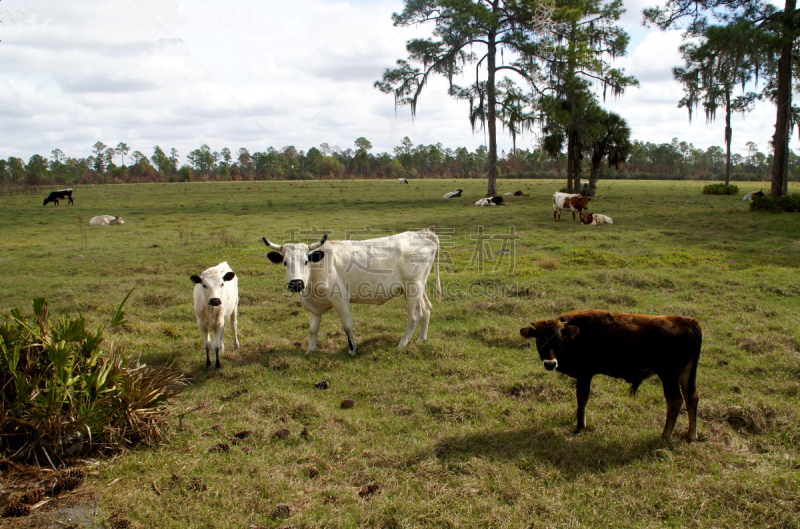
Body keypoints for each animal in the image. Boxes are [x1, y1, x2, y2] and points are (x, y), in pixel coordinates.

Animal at [262, 228, 440, 354]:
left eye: (306, 261)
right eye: (285, 262)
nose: (296, 283)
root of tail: (422, 233)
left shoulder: (340, 299)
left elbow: (347, 326)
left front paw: (352, 349)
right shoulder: (315, 306)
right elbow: (313, 329)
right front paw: (309, 351)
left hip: (413, 288)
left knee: (414, 316)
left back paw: (402, 344)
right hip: (417, 288)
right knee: (426, 309)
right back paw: (421, 339)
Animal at [520, 310, 700, 442]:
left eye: (559, 340)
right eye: (539, 339)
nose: (550, 363)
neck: (577, 335)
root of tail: (685, 321)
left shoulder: (584, 375)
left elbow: (582, 400)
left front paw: (580, 427)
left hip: (669, 377)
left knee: (675, 401)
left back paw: (665, 435)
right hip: (685, 375)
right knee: (691, 399)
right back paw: (691, 435)